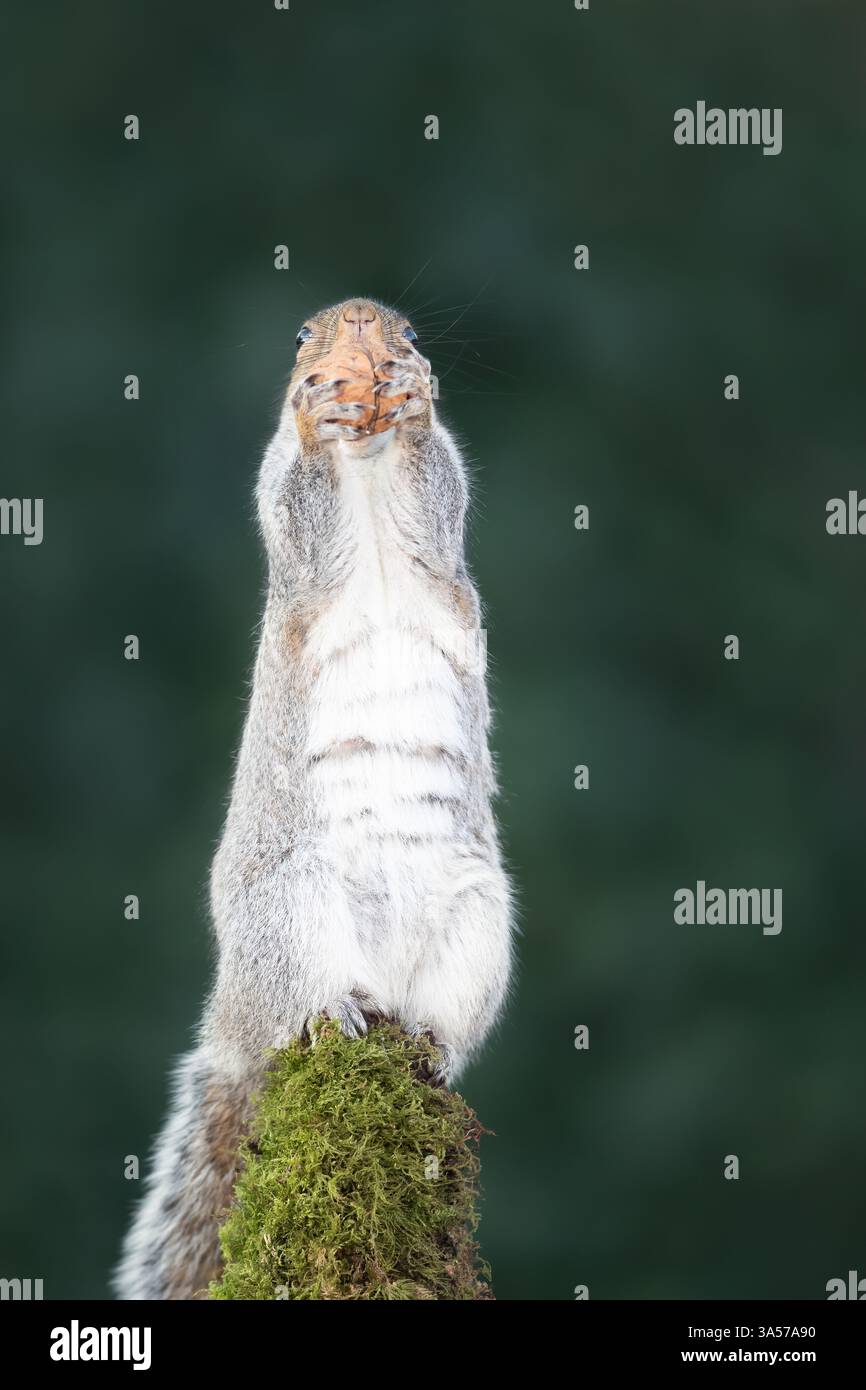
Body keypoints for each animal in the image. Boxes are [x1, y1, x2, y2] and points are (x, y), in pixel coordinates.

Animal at [114, 298, 513, 1300]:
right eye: (302, 337)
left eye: (409, 330)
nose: (366, 334)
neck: (365, 471)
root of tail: (239, 1012)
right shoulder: (293, 539)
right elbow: (295, 498)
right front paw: (314, 415)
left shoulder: (437, 542)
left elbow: (439, 490)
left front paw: (414, 400)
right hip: (292, 913)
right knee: (311, 1003)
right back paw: (333, 1011)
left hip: (476, 928)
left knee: (437, 1024)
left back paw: (430, 1041)